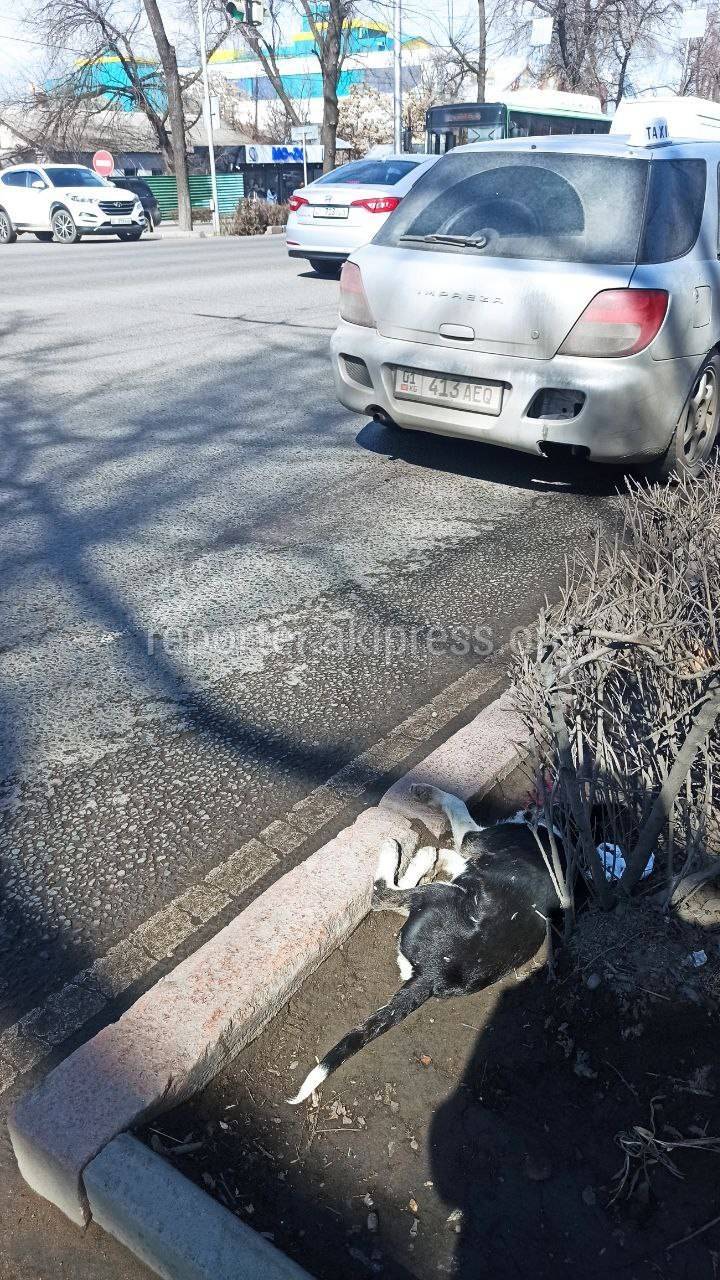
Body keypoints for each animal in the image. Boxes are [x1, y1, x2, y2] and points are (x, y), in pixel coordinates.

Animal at [286, 783, 566, 1105]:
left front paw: (426, 792)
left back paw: (404, 854)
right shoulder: (469, 857)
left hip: (439, 894)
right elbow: (452, 852)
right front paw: (437, 857)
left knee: (382, 895)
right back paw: (424, 862)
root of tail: (431, 976)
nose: (530, 808)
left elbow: (455, 803)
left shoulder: (472, 839)